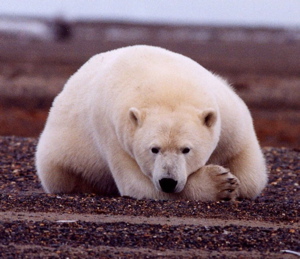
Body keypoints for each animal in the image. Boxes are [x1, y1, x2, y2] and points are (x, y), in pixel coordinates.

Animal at [35, 45, 268, 201]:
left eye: (186, 149)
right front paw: (221, 183)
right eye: (154, 149)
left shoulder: (228, 115)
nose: (168, 181)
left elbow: (249, 173)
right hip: (61, 159)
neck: (166, 84)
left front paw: (234, 181)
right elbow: (138, 185)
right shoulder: (114, 133)